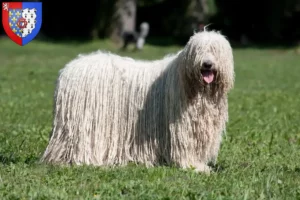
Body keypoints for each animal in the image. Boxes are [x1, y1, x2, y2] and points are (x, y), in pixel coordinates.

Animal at [41, 29, 236, 173]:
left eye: (215, 50)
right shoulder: (182, 128)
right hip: (84, 123)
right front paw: (194, 167)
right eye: (198, 50)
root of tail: (68, 69)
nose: (207, 64)